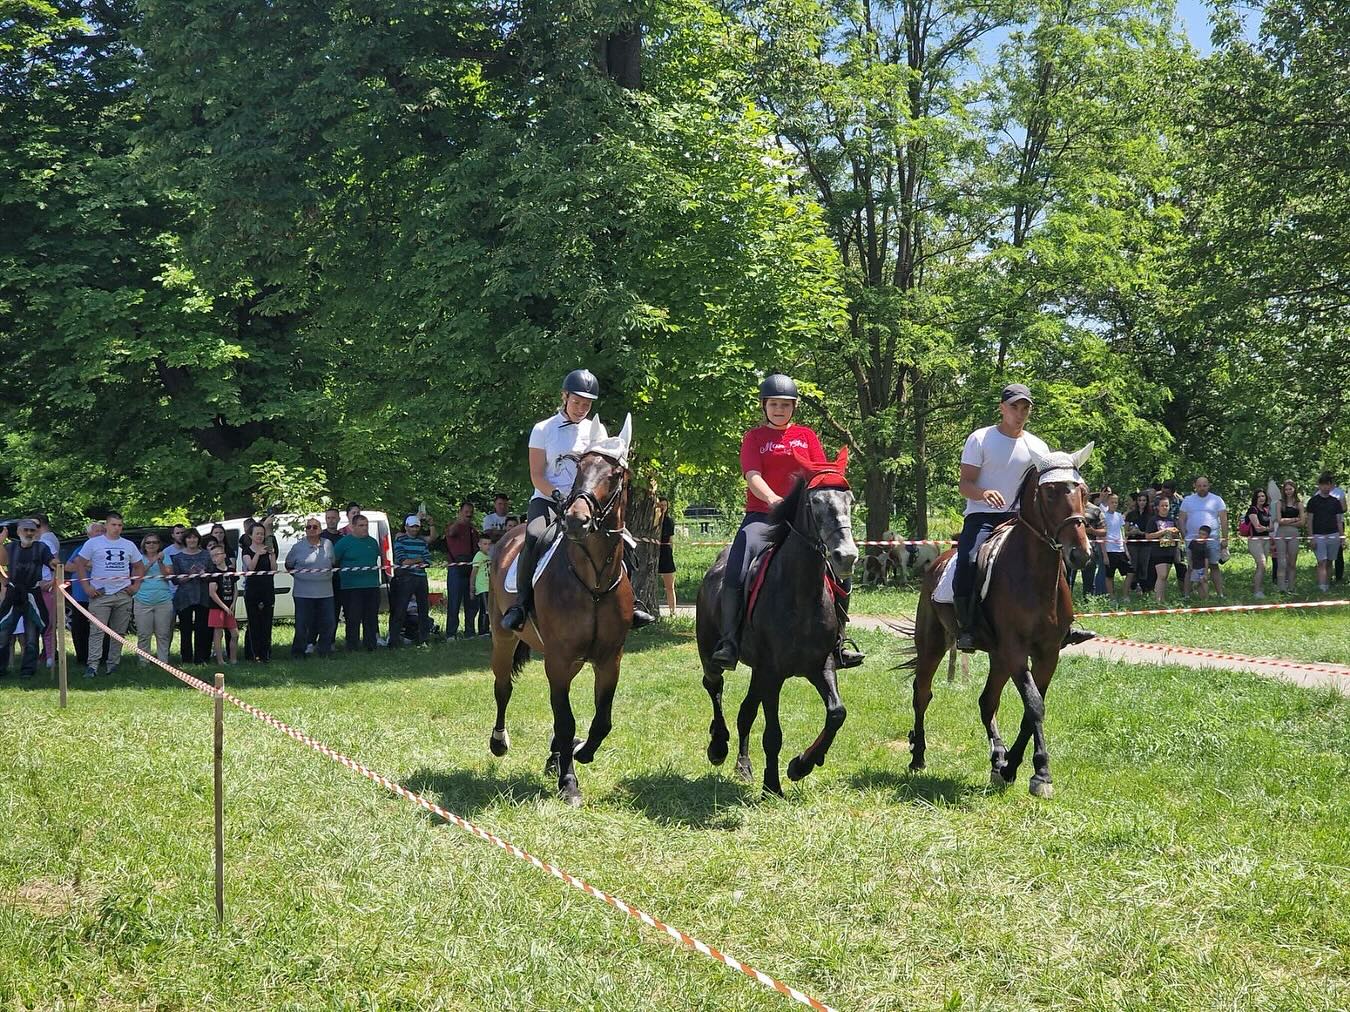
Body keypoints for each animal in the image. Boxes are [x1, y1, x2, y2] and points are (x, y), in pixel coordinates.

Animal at [488, 420, 634, 809]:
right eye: (579, 467)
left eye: (615, 475)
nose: (575, 520)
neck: (593, 580)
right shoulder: (558, 657)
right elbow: (565, 721)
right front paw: (569, 783)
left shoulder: (609, 659)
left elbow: (601, 720)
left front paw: (581, 753)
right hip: (503, 638)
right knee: (503, 687)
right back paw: (499, 742)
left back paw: (556, 757)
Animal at [696, 450, 853, 798]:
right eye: (815, 503)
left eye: (850, 500)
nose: (846, 556)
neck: (800, 593)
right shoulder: (773, 673)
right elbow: (773, 734)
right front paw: (773, 786)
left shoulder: (820, 664)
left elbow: (836, 713)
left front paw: (802, 764)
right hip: (713, 656)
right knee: (714, 687)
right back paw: (718, 747)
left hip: (758, 671)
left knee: (745, 713)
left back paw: (743, 765)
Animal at [896, 442, 1096, 798]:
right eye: (1049, 493)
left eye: (1083, 492)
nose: (1080, 554)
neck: (1034, 576)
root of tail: (936, 562)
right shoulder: (1016, 651)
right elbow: (1034, 705)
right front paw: (1041, 773)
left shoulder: (1047, 654)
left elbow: (1032, 709)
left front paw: (1012, 767)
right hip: (934, 643)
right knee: (922, 693)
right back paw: (918, 756)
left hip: (998, 657)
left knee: (987, 701)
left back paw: (997, 757)